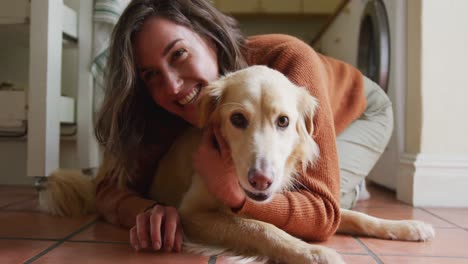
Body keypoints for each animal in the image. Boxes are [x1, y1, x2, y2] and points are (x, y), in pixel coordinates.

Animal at [40, 65, 436, 262]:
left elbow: (351, 216)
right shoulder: (193, 213)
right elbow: (262, 228)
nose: (261, 180)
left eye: (283, 121)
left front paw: (407, 227)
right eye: (237, 120)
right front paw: (311, 251)